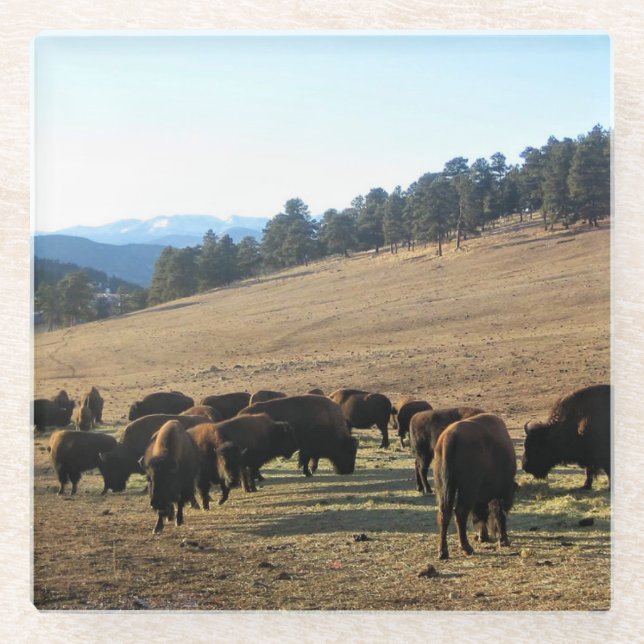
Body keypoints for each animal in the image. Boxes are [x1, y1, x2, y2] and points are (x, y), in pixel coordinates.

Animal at [434, 413, 516, 560]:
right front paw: (503, 540)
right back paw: (467, 548)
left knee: (444, 513)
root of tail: (450, 436)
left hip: (443, 487)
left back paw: (443, 552)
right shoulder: (497, 495)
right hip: (467, 488)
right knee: (460, 512)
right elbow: (498, 513)